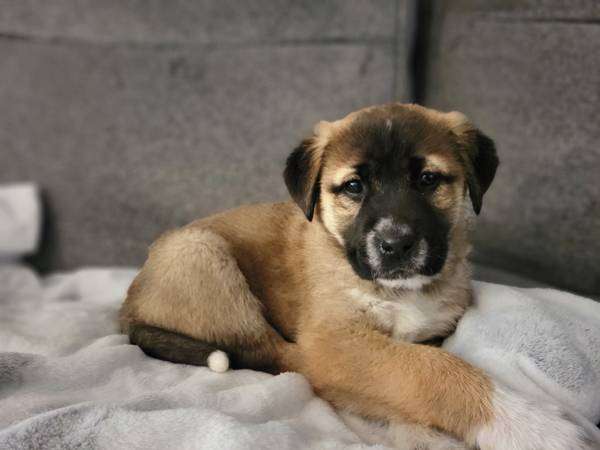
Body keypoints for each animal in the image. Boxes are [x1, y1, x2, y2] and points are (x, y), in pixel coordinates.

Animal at [119, 103, 592, 448]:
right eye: (353, 187)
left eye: (428, 179)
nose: (396, 245)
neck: (402, 292)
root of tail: (128, 308)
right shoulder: (337, 340)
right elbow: (429, 370)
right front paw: (534, 427)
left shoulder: (434, 329)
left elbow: (418, 366)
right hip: (202, 253)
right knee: (281, 356)